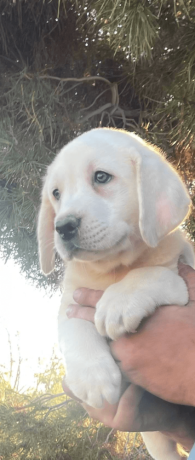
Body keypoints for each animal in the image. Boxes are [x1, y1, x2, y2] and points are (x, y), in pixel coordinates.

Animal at [37, 128, 193, 460]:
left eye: (101, 177)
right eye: (56, 194)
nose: (63, 227)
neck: (112, 270)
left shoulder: (180, 280)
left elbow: (149, 274)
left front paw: (117, 303)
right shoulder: (71, 299)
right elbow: (73, 327)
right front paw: (92, 376)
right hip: (156, 438)